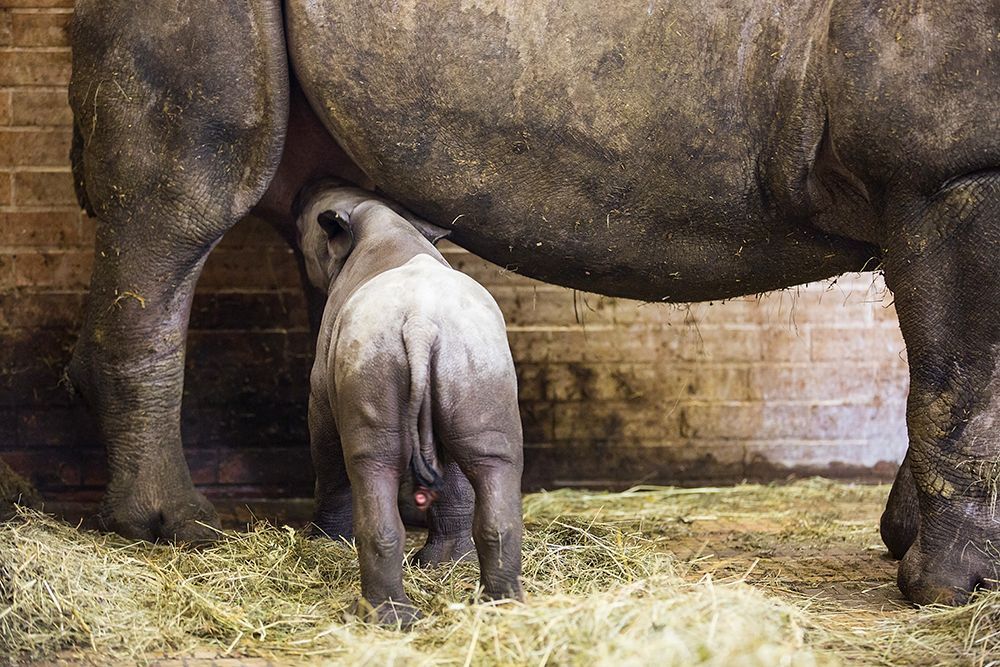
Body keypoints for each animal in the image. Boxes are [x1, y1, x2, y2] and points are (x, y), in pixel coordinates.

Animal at [294, 183, 524, 628]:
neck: (382, 220)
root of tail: (421, 324)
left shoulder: (321, 390)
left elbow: (326, 454)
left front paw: (324, 542)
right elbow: (457, 477)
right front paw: (446, 566)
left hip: (374, 356)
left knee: (371, 463)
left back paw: (383, 618)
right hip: (473, 354)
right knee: (493, 459)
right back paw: (497, 606)